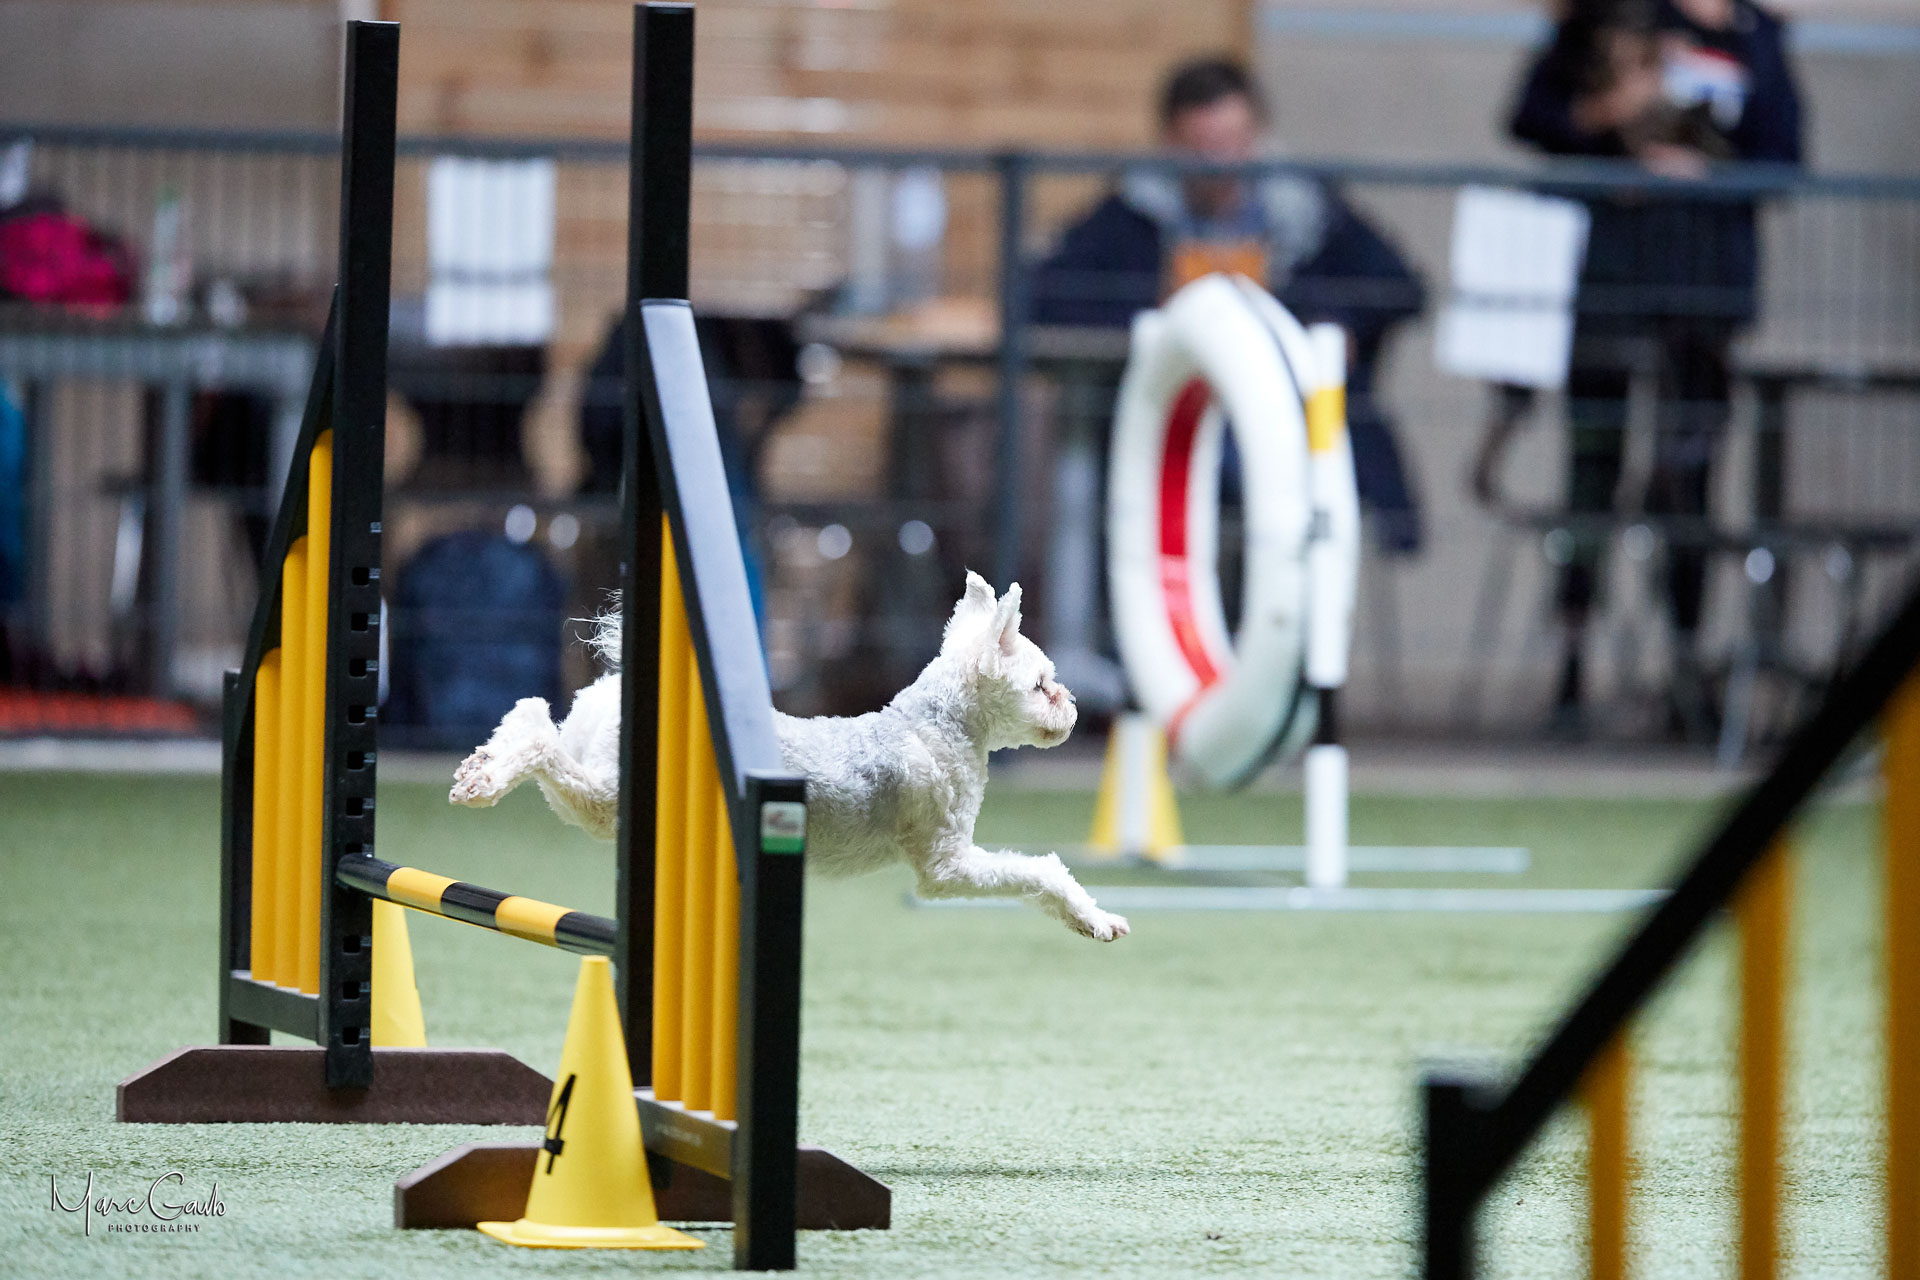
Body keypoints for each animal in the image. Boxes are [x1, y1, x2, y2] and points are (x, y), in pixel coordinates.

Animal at [450, 572, 1130, 941]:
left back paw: (481, 767)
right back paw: (484, 783)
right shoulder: (947, 865)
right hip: (606, 799)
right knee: (540, 742)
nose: (1072, 706)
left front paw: (1091, 920)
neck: (942, 726)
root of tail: (615, 691)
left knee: (529, 712)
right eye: (1041, 683)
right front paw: (1096, 918)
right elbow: (1040, 871)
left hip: (590, 779)